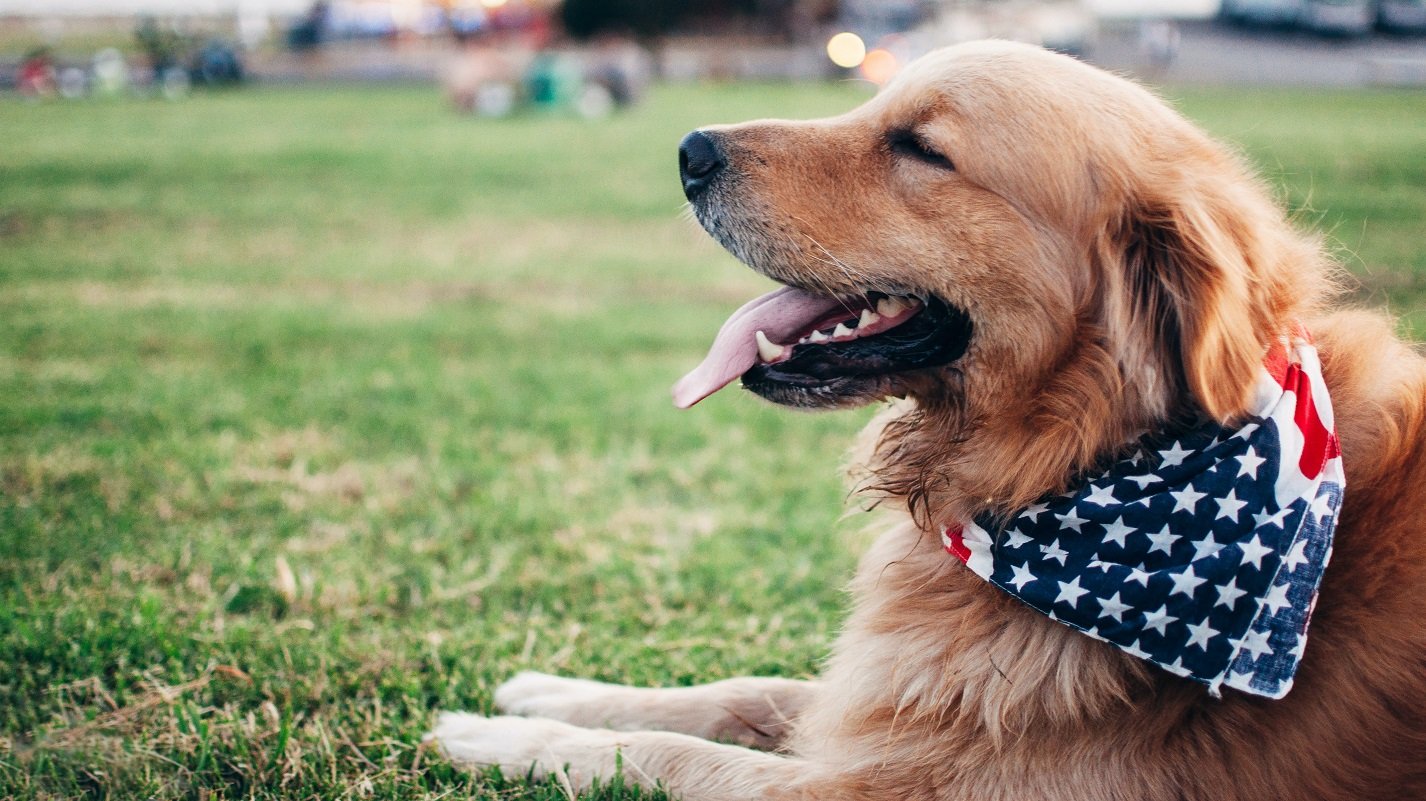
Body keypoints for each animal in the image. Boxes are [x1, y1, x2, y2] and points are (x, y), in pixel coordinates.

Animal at [430, 42, 1426, 798]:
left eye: (920, 147)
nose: (689, 149)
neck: (1074, 460)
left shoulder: (880, 784)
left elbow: (664, 753)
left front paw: (493, 738)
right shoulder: (888, 703)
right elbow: (732, 691)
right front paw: (547, 690)